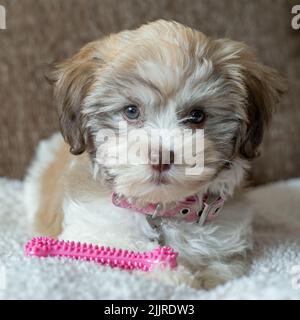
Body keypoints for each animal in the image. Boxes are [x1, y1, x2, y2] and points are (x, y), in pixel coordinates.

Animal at [24, 20, 284, 290]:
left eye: (197, 115)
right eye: (131, 111)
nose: (161, 158)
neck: (162, 211)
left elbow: (222, 268)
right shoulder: (93, 233)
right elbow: (131, 252)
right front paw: (173, 275)